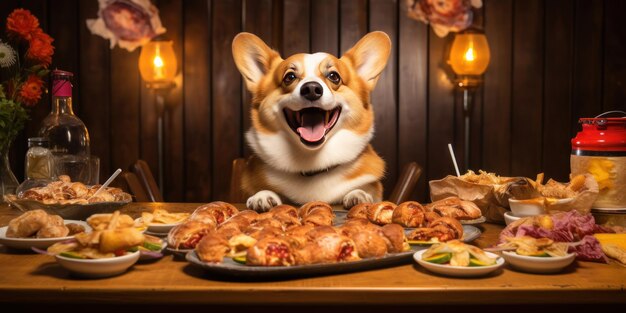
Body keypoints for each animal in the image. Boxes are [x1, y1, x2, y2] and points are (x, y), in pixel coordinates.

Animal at [232, 30, 390, 211]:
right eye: (289, 77)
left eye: (334, 76)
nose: (312, 89)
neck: (311, 163)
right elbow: (263, 190)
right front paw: (263, 196)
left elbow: (364, 189)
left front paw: (358, 194)